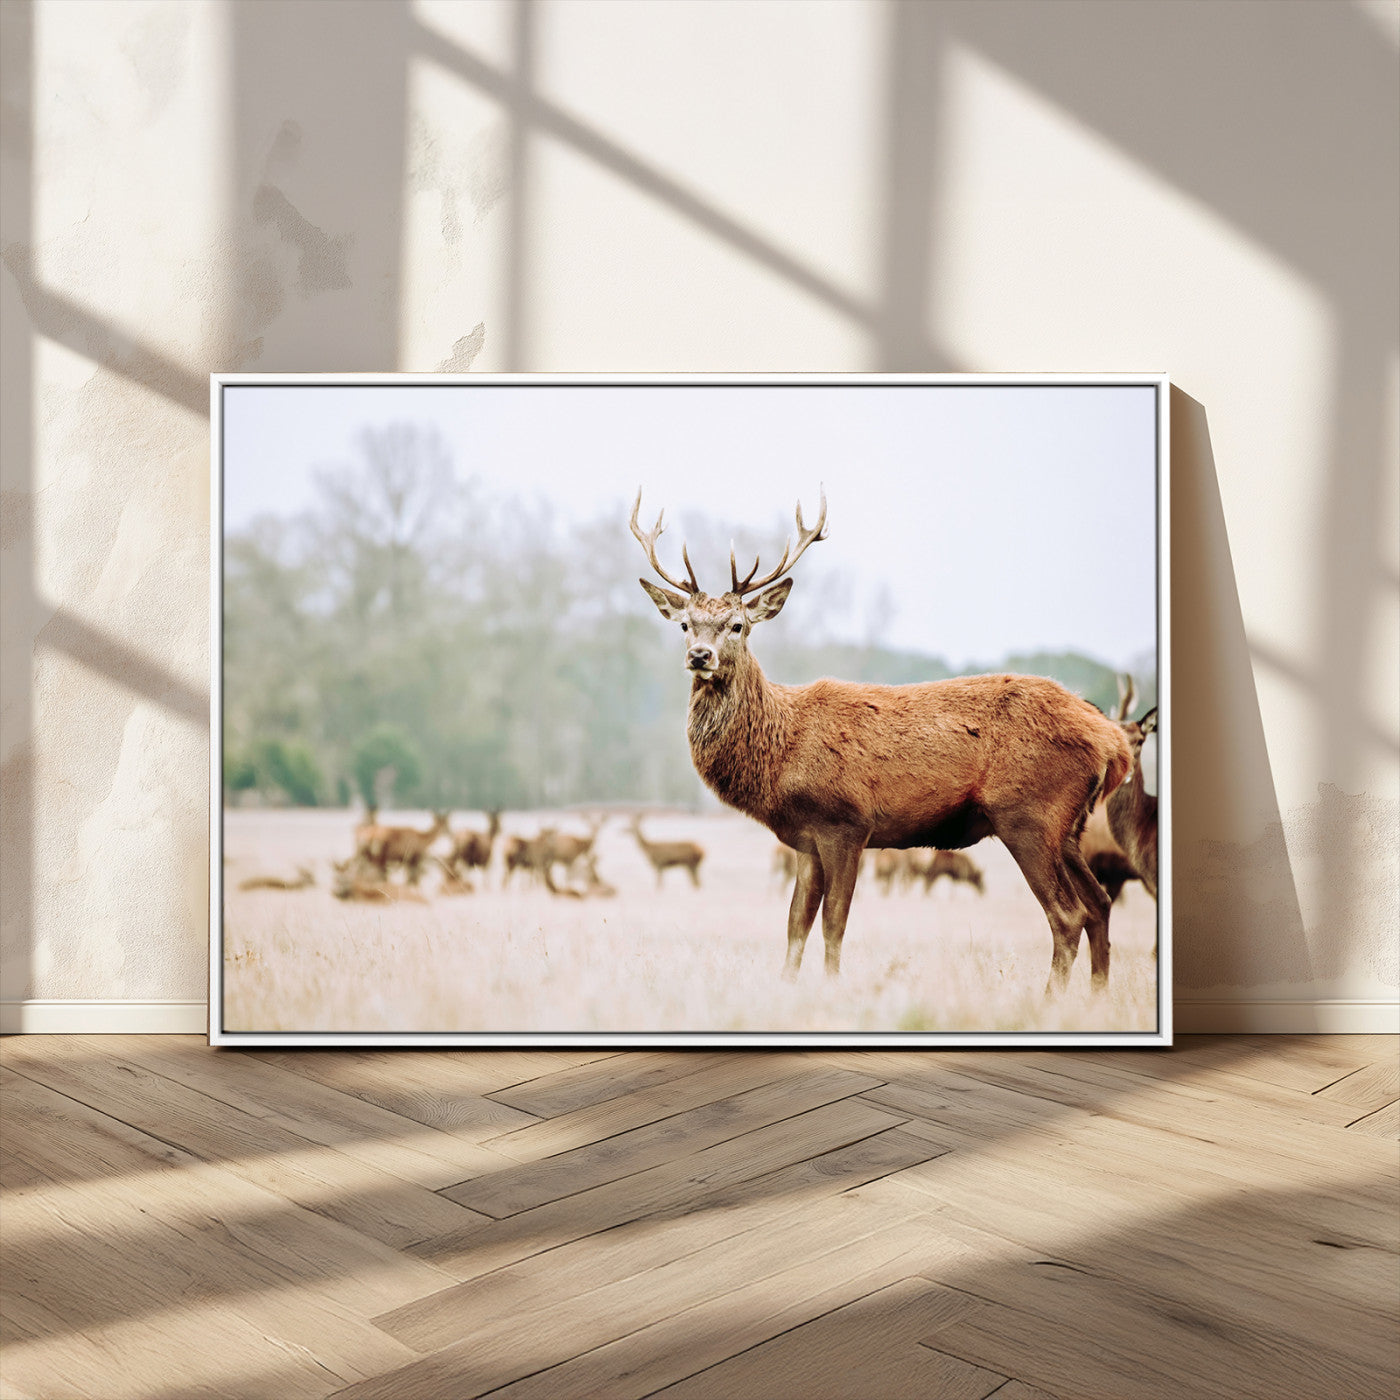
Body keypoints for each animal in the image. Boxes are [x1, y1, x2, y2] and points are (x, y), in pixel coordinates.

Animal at [632, 487, 1133, 992]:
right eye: (684, 625)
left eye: (737, 625)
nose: (700, 656)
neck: (782, 753)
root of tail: (1114, 742)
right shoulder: (806, 839)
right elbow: (795, 924)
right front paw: (787, 986)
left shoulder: (846, 822)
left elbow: (834, 923)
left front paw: (833, 987)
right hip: (1069, 827)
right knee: (1100, 904)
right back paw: (1096, 997)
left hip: (1028, 814)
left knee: (1068, 914)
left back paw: (1051, 999)